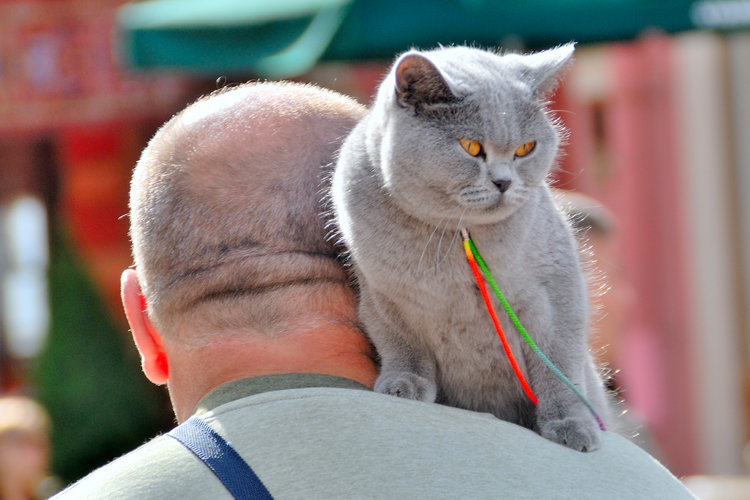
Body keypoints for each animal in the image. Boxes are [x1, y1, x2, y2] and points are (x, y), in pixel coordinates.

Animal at [332, 45, 612, 454]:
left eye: (525, 148)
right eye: (471, 147)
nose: (504, 182)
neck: (456, 234)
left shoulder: (557, 286)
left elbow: (558, 362)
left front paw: (571, 426)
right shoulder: (383, 294)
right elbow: (402, 343)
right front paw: (404, 385)